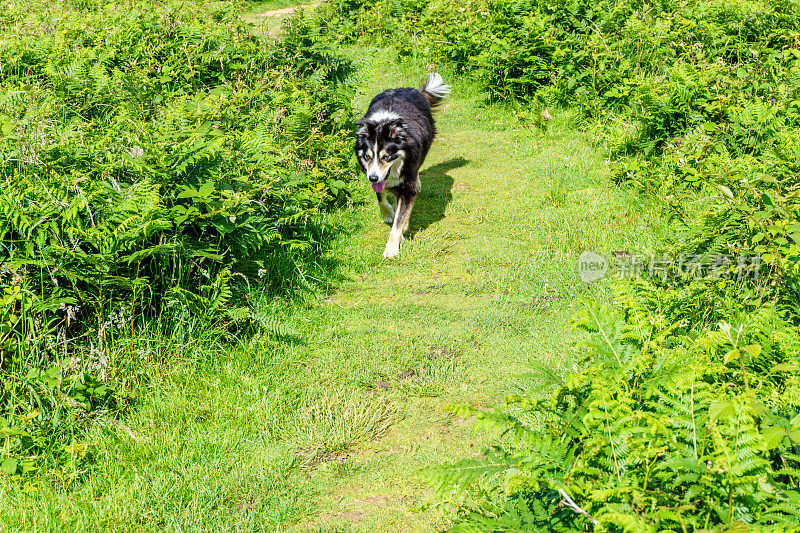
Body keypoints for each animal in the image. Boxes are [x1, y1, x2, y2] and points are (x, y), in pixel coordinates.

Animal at [354, 74, 450, 258]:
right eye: (368, 156)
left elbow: (399, 220)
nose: (373, 178)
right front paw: (388, 214)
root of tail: (412, 90)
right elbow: (381, 198)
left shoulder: (406, 185)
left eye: (386, 157)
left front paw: (392, 248)